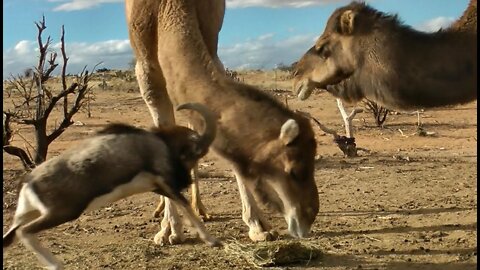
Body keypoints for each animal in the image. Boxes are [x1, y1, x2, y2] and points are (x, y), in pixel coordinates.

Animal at [124, 0, 318, 245]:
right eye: (293, 171)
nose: (309, 216)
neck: (167, 8)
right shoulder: (146, 70)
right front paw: (169, 231)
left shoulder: (211, 37)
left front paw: (259, 227)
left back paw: (200, 209)